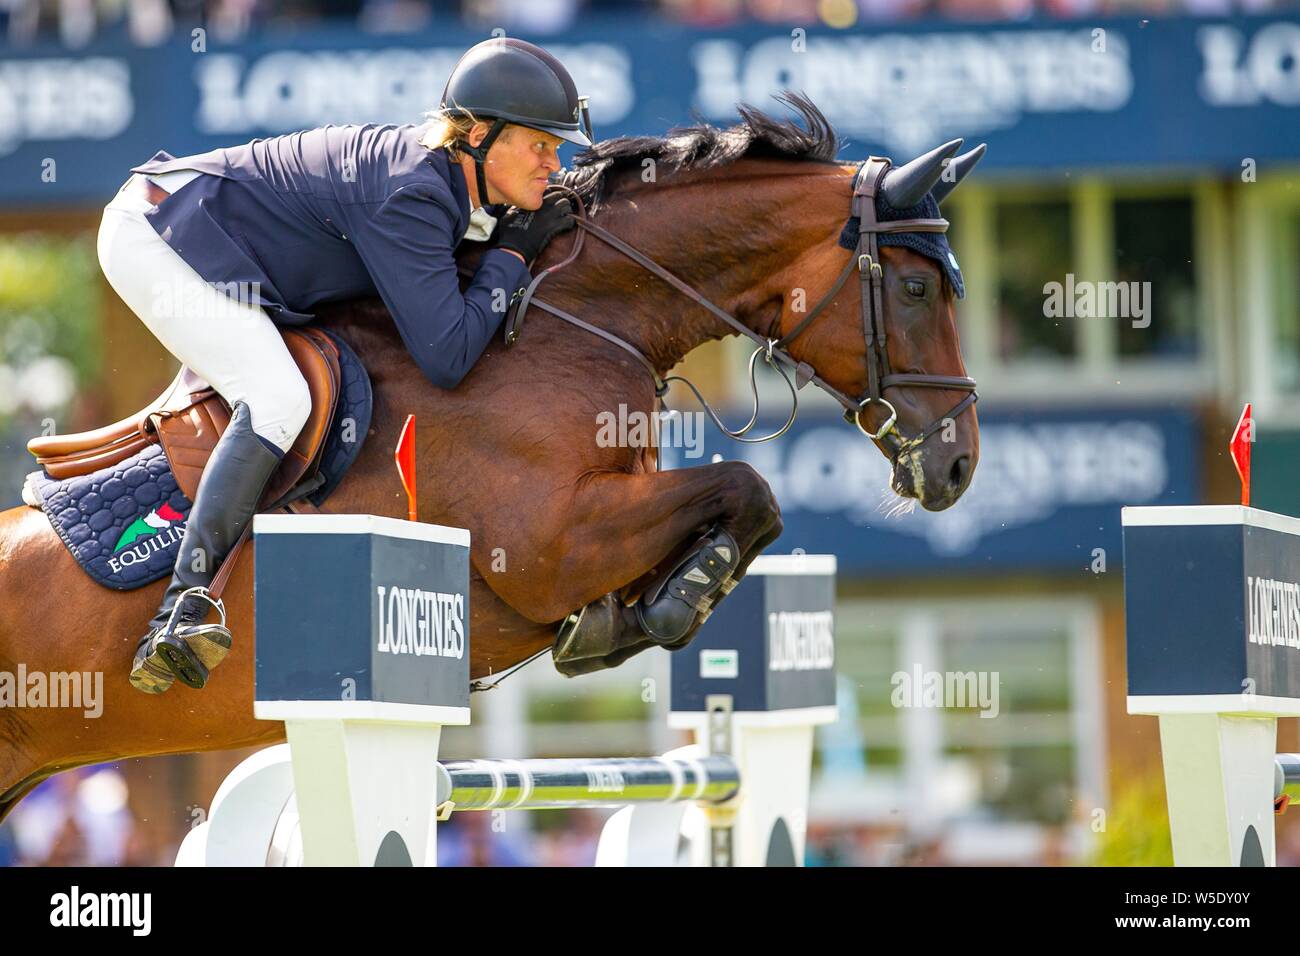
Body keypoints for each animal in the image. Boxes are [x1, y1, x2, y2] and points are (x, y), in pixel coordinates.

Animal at [0, 97, 977, 822]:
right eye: (917, 286)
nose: (959, 464)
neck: (570, 320)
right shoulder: (551, 544)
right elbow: (748, 485)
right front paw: (665, 608)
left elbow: (740, 507)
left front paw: (638, 613)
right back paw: (182, 629)